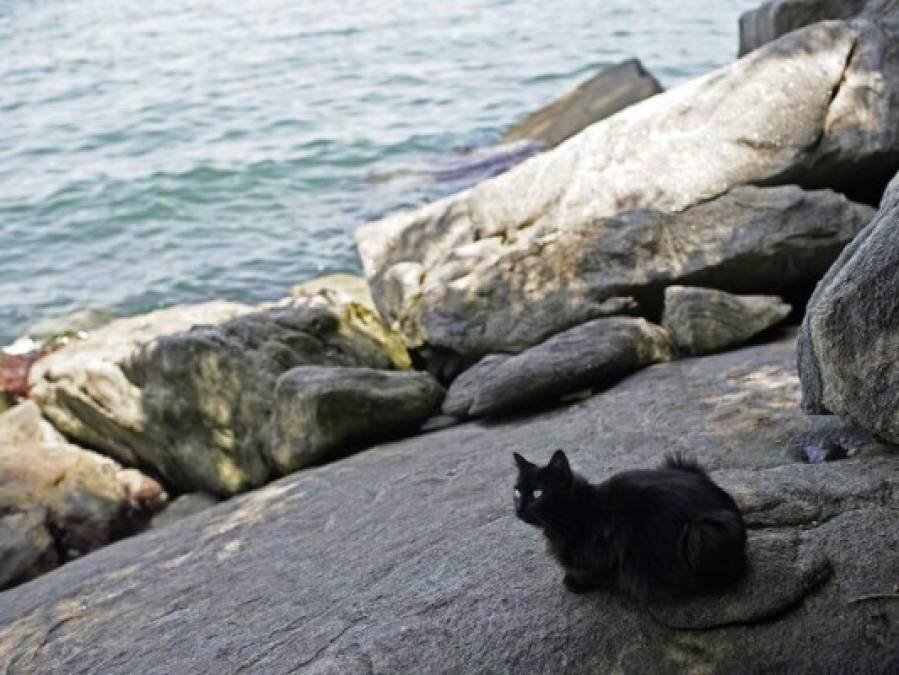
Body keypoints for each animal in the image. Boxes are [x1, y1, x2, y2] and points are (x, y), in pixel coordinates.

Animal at [510, 452, 748, 604]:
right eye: (517, 491)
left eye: (538, 493)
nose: (520, 509)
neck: (578, 510)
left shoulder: (606, 549)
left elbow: (596, 573)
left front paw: (575, 582)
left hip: (702, 531)